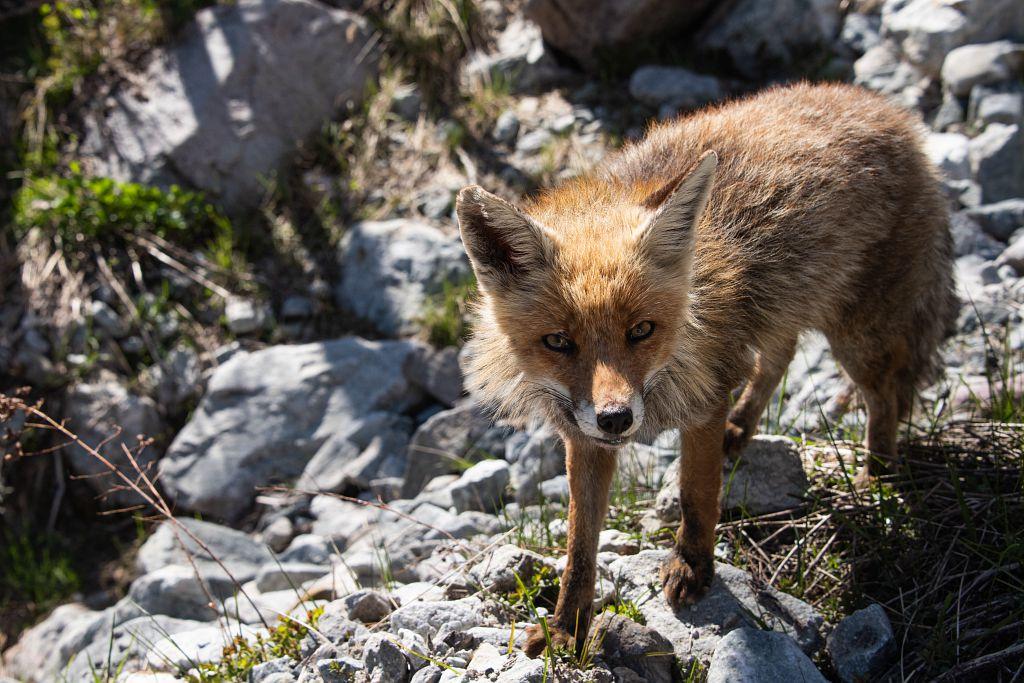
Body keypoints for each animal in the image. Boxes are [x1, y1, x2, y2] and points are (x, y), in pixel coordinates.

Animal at [452, 82, 954, 659]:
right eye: (558, 342)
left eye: (641, 330)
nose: (617, 419)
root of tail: (884, 108)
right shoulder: (584, 438)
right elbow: (580, 546)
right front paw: (566, 628)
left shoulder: (704, 398)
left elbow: (697, 494)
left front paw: (693, 566)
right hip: (784, 311)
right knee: (779, 355)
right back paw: (744, 426)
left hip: (857, 339)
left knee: (885, 397)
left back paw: (877, 478)